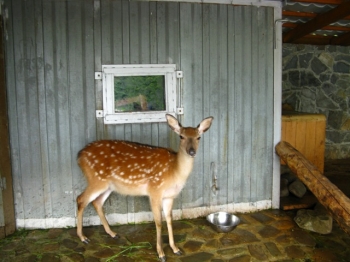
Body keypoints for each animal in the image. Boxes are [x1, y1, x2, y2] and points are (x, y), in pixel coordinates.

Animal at [76, 114, 213, 262]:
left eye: (198, 137)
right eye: (181, 136)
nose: (191, 151)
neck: (174, 171)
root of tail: (79, 156)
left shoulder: (169, 196)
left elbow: (169, 220)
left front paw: (176, 249)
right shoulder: (155, 190)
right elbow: (158, 222)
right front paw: (161, 253)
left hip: (108, 185)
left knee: (96, 202)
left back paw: (113, 233)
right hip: (96, 179)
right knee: (81, 199)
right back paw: (83, 237)